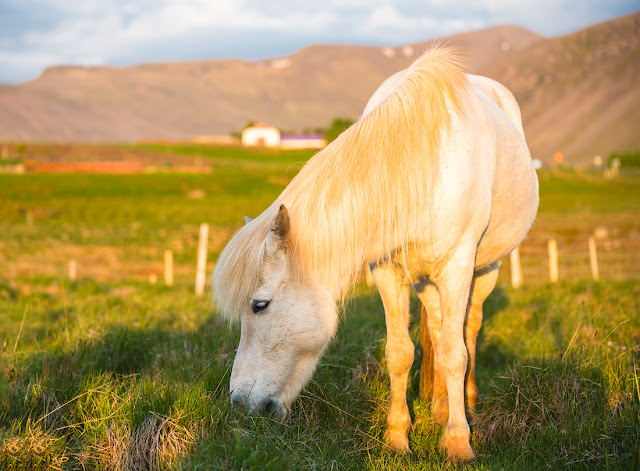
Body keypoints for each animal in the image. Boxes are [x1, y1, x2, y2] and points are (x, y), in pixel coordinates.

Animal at [212, 47, 536, 460]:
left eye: (259, 306)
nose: (239, 403)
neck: (421, 169)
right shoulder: (387, 271)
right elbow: (400, 353)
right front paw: (398, 439)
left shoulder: (458, 266)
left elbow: (456, 353)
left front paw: (458, 443)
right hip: (426, 280)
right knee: (436, 329)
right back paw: (439, 408)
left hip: (486, 268)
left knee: (470, 328)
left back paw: (468, 402)